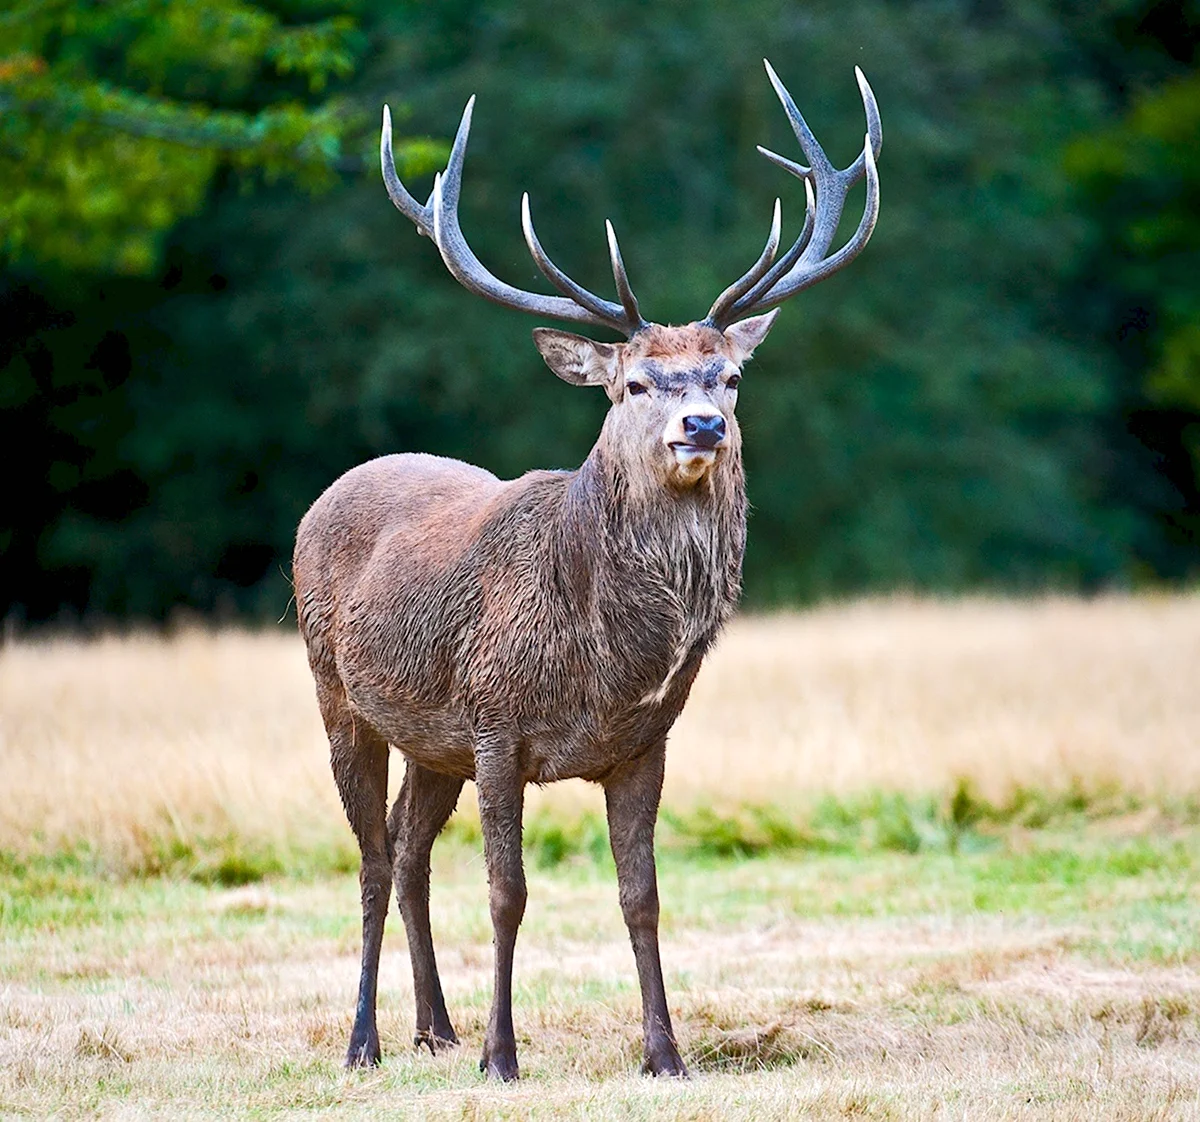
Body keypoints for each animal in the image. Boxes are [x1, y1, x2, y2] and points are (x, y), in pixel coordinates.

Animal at [292, 59, 883, 1080]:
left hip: (431, 740)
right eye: (635, 383)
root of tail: (325, 495)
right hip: (339, 694)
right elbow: (508, 893)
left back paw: (434, 1028)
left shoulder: (645, 741)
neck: (603, 657)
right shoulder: (494, 723)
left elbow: (641, 896)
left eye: (730, 376)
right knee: (369, 858)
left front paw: (665, 1054)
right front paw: (503, 1057)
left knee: (407, 854)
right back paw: (367, 1041)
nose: (702, 426)